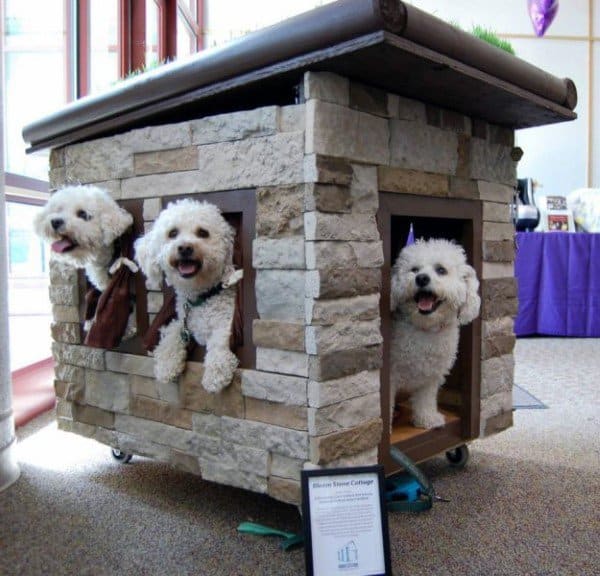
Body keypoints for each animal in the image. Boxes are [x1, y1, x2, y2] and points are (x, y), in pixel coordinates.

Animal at [135, 198, 243, 392]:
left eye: (203, 233)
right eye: (173, 233)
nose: (185, 247)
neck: (201, 298)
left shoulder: (226, 320)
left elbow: (219, 339)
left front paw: (215, 374)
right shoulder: (183, 322)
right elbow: (171, 333)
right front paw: (166, 365)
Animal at [392, 237, 480, 428]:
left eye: (441, 270)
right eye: (414, 269)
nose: (421, 278)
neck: (425, 328)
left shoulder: (430, 375)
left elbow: (425, 399)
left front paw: (427, 419)